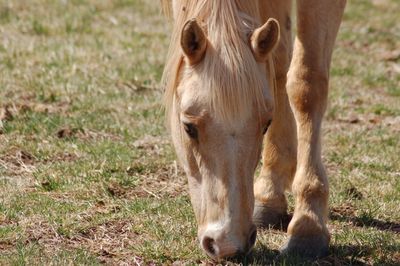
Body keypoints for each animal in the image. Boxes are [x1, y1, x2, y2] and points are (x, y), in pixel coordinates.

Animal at [161, 0, 346, 258]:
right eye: (188, 128)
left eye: (265, 124)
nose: (227, 244)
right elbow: (278, 65)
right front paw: (269, 196)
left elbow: (306, 83)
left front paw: (308, 227)